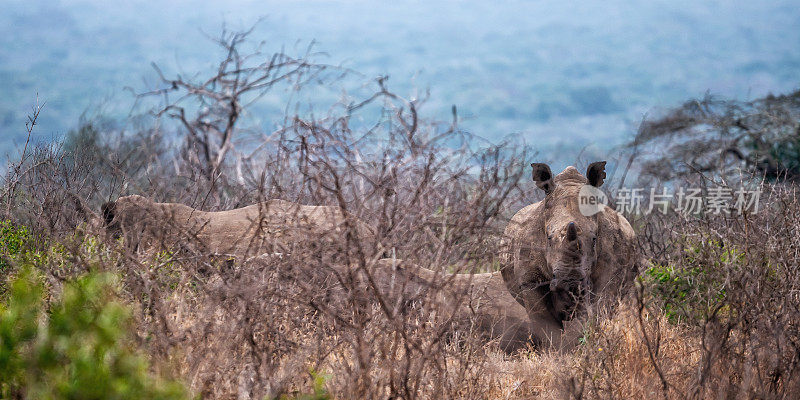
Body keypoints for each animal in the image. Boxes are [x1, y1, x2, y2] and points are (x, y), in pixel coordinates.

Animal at [496, 161, 640, 348]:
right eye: (549, 238)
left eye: (594, 239)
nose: (570, 283)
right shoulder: (530, 282)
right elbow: (544, 321)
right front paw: (556, 351)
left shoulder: (612, 276)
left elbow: (596, 314)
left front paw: (580, 347)